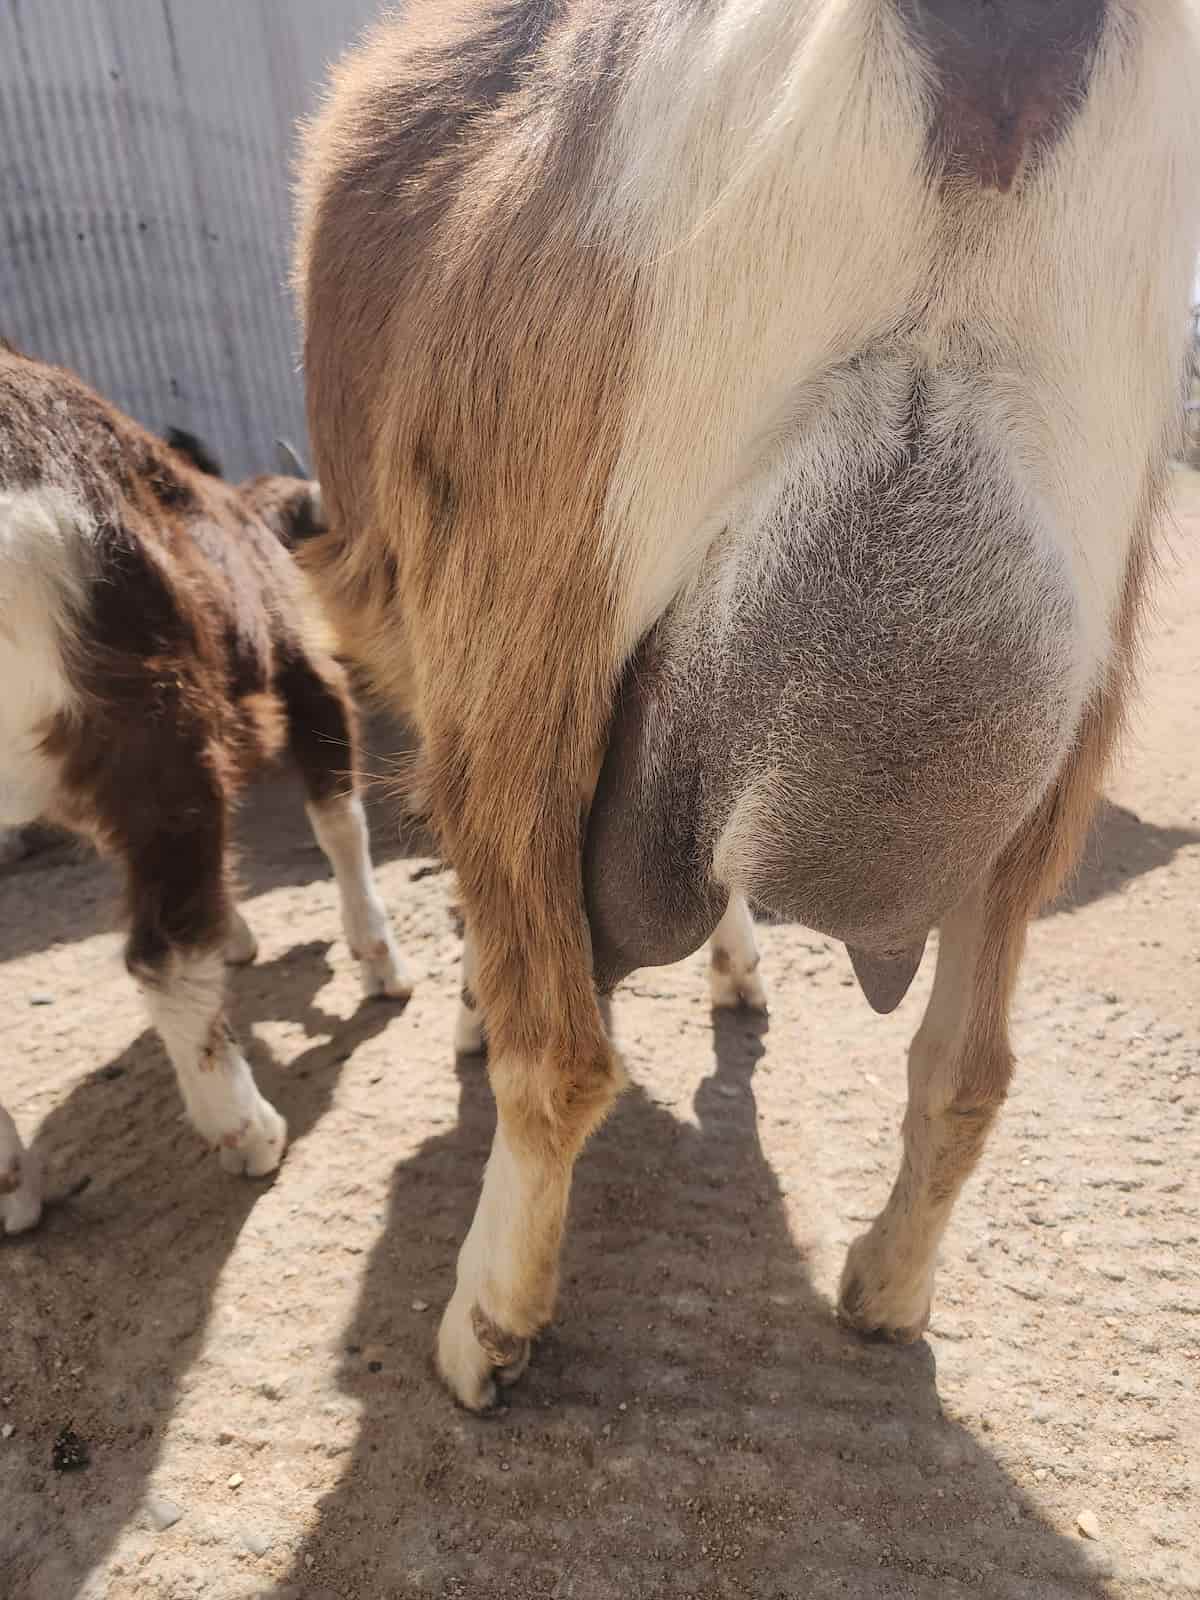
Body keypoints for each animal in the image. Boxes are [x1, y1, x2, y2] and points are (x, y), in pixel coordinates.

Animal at [0, 343, 407, 1235]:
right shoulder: (305, 672)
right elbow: (339, 819)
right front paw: (381, 963)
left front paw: (241, 935)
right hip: (154, 720)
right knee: (160, 951)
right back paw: (244, 1128)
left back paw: (10, 1186)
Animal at [296, 0, 1200, 1408]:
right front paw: (737, 976)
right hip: (1075, 685)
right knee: (968, 1070)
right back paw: (885, 1292)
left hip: (526, 629)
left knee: (558, 1048)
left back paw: (487, 1326)